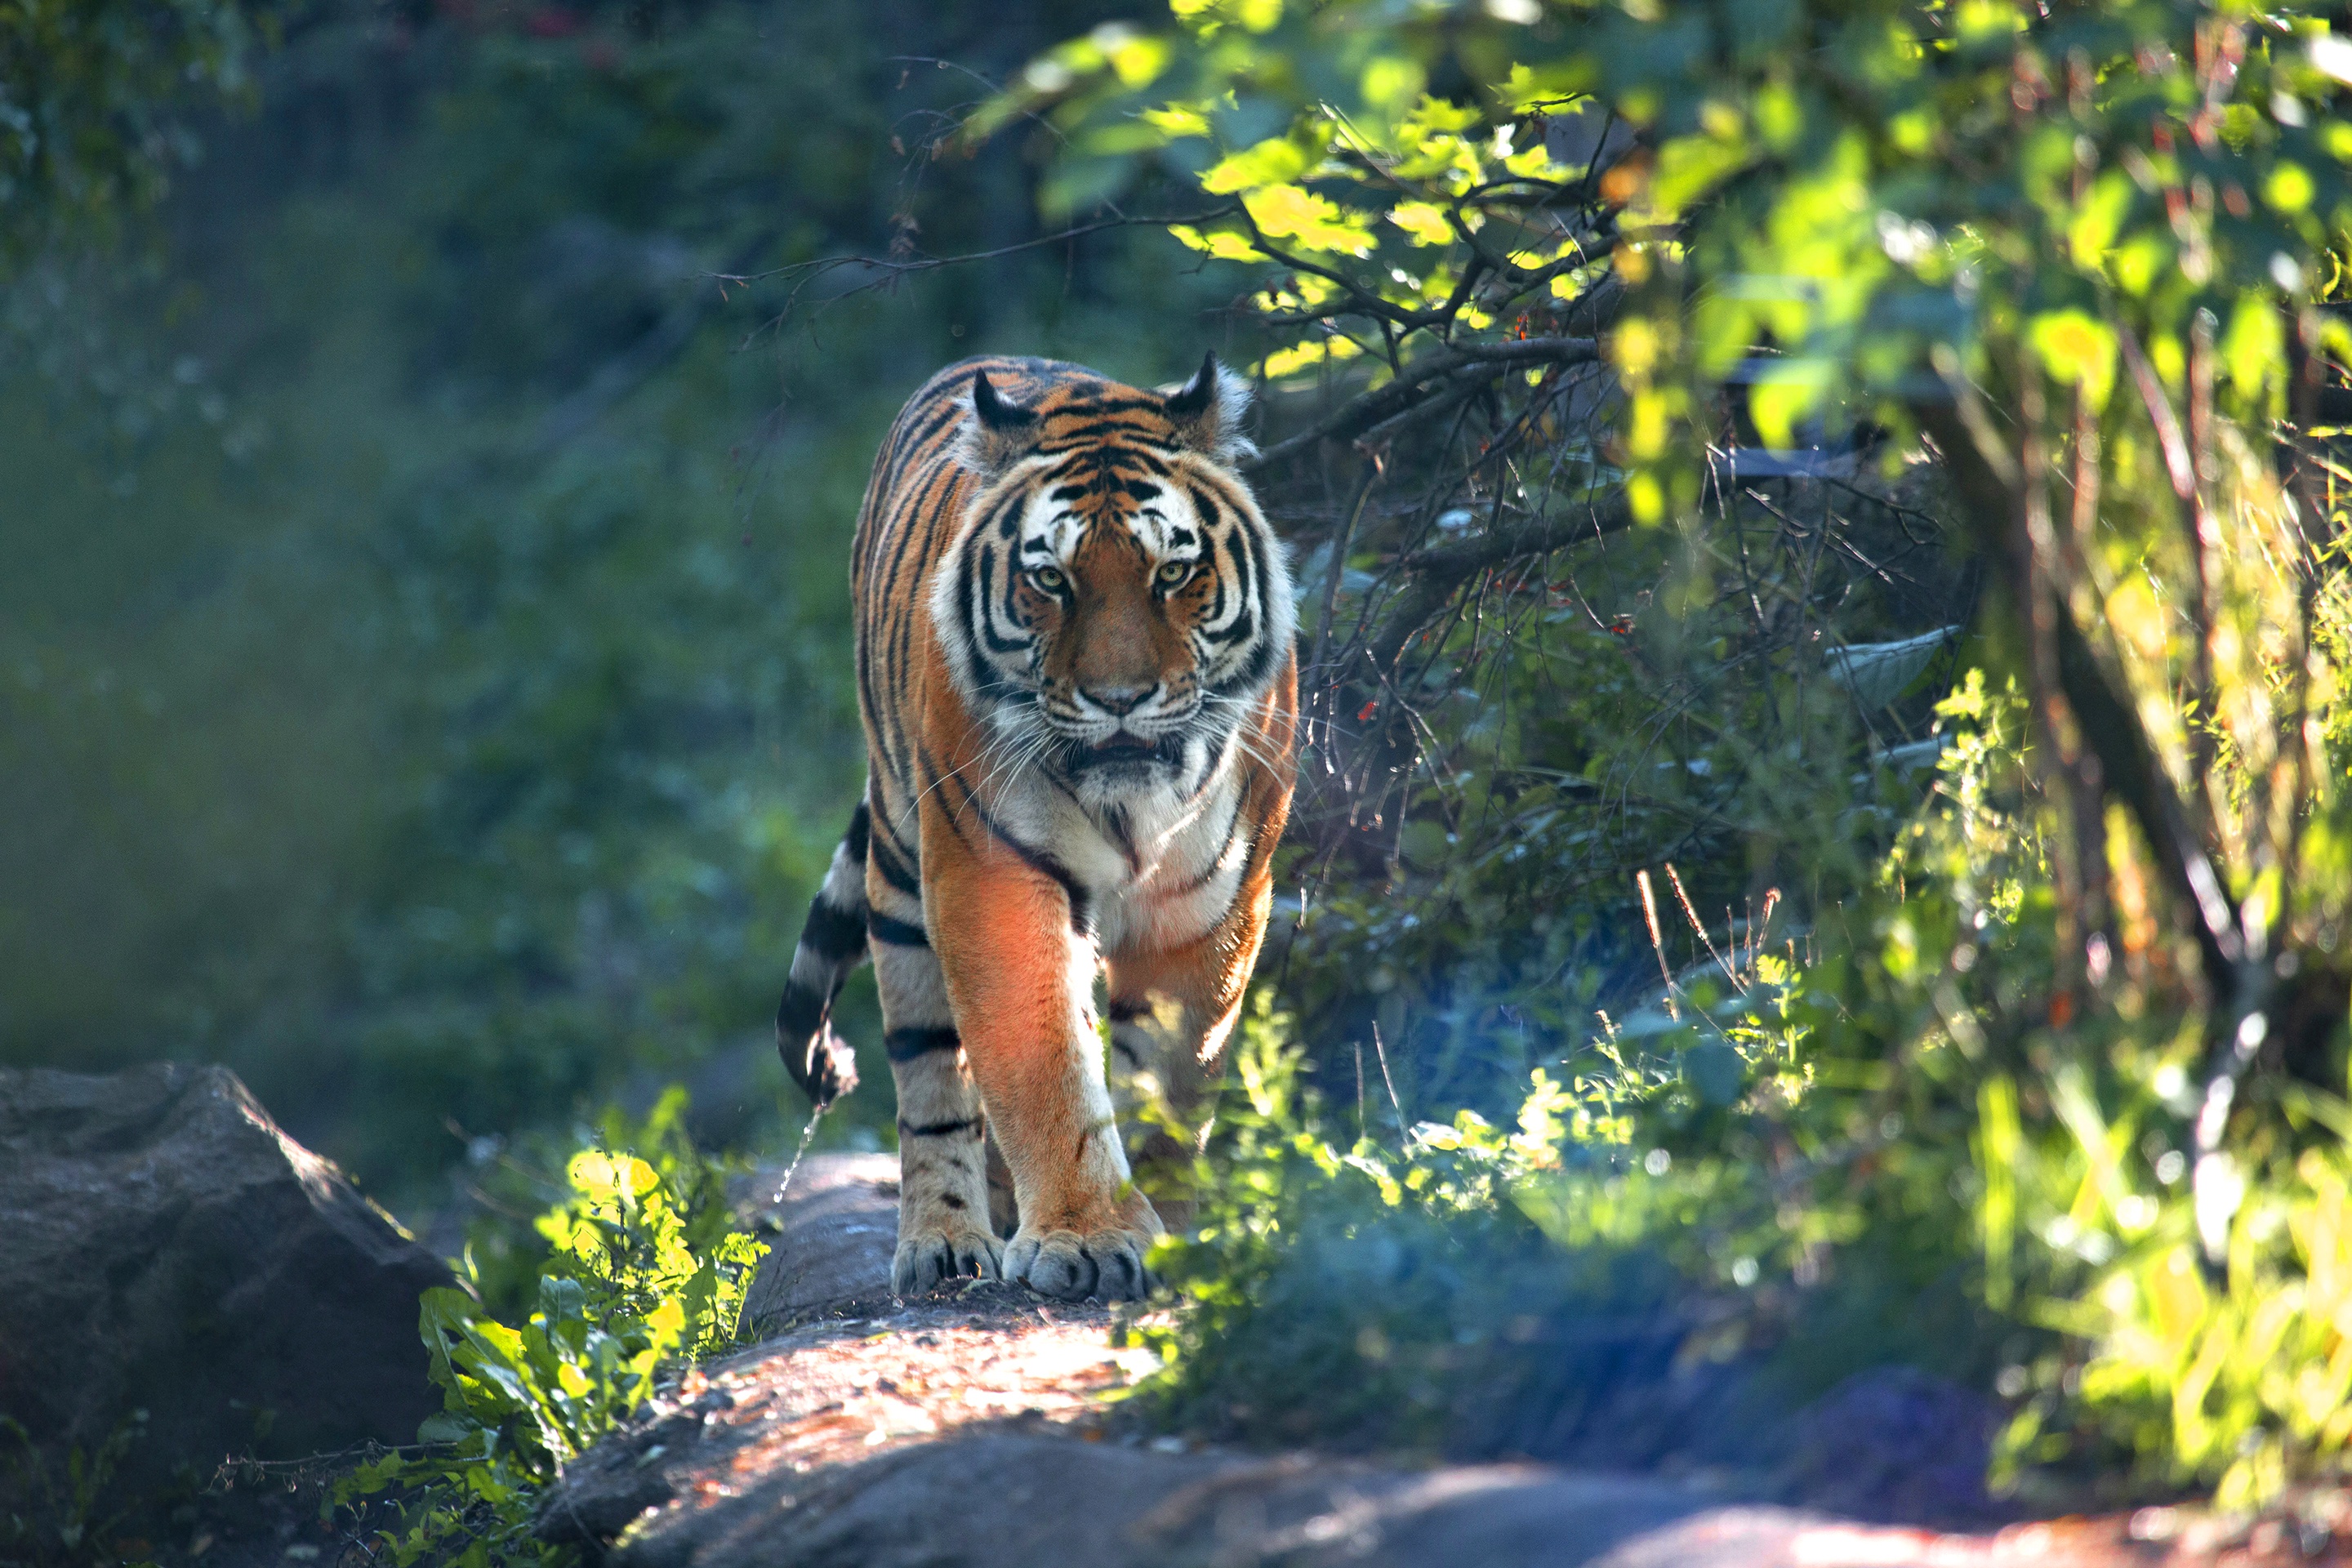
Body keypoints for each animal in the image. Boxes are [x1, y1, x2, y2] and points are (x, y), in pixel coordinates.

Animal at [771, 352, 1298, 1297]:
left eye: (1173, 573)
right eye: (1051, 578)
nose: (1120, 699)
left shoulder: (1213, 900)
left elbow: (1176, 1073)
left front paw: (1169, 1228)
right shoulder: (992, 875)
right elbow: (1045, 1064)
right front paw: (1086, 1236)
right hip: (903, 873)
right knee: (934, 1085)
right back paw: (947, 1241)